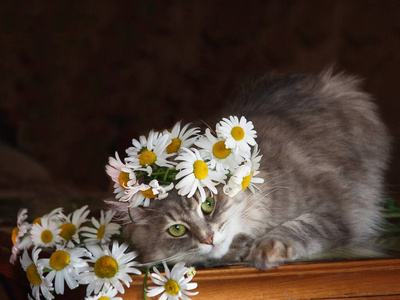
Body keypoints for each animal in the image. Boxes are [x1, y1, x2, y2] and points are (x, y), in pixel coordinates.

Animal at [109, 70, 390, 270]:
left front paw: (267, 248)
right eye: (177, 230)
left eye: (208, 205)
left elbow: (299, 226)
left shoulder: (338, 211)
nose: (207, 238)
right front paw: (236, 249)